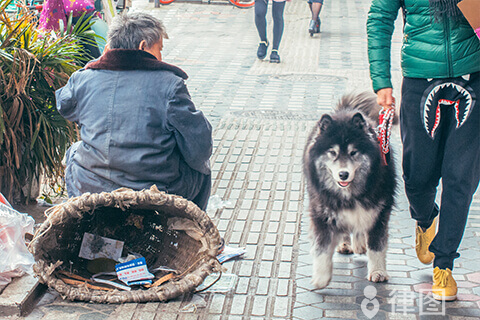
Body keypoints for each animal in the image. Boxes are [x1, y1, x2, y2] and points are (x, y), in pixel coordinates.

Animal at [306, 91, 396, 288]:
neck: (350, 195)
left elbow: (376, 246)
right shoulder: (322, 211)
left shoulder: (379, 211)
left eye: (353, 152)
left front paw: (378, 272)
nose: (343, 174)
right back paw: (346, 244)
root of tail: (346, 110)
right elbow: (322, 247)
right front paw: (321, 277)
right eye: (332, 152)